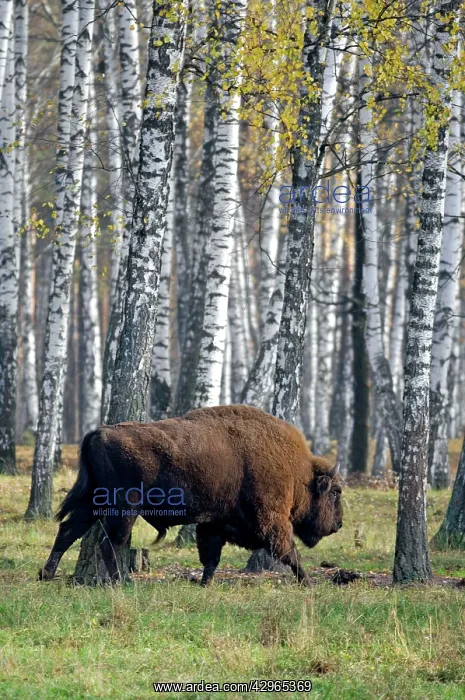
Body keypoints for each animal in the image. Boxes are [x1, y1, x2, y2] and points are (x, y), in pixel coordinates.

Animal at [39, 405, 343, 586]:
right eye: (335, 493)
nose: (338, 525)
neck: (297, 473)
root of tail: (99, 432)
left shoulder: (214, 523)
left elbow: (211, 556)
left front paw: (204, 583)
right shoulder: (272, 520)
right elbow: (290, 551)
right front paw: (308, 583)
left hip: (94, 502)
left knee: (68, 531)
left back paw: (46, 574)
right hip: (124, 507)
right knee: (110, 542)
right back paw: (123, 582)